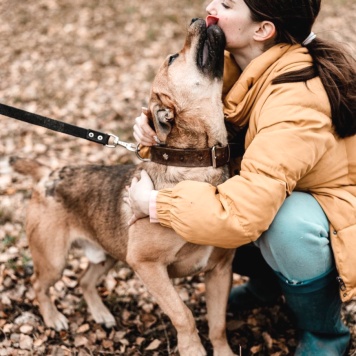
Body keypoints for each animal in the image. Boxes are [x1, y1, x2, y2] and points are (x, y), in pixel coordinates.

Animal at [11, 18, 238, 356]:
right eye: (173, 57)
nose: (197, 19)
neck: (196, 163)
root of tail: (47, 172)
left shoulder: (220, 270)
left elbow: (218, 324)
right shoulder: (147, 265)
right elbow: (183, 315)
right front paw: (192, 349)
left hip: (108, 254)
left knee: (85, 281)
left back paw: (101, 314)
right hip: (54, 260)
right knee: (39, 285)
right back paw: (53, 318)